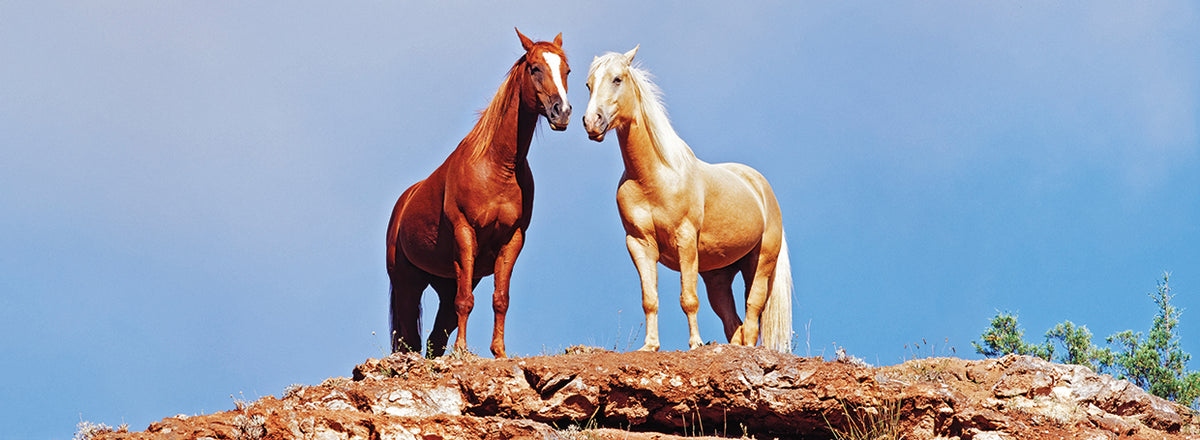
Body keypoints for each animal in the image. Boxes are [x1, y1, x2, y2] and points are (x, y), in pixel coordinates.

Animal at [386, 29, 571, 359]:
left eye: (567, 71)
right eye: (535, 68)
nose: (561, 113)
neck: (498, 166)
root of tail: (403, 202)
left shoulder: (513, 239)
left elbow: (500, 299)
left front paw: (499, 352)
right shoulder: (464, 232)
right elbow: (466, 303)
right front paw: (463, 351)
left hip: (447, 280)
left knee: (435, 337)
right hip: (408, 281)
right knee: (410, 337)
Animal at [582, 46, 793, 353]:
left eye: (617, 79)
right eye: (588, 84)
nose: (592, 122)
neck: (653, 177)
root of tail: (761, 187)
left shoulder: (685, 239)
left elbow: (688, 299)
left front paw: (694, 344)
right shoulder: (639, 244)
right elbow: (650, 299)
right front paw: (650, 346)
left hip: (760, 262)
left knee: (753, 315)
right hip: (718, 276)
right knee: (734, 323)